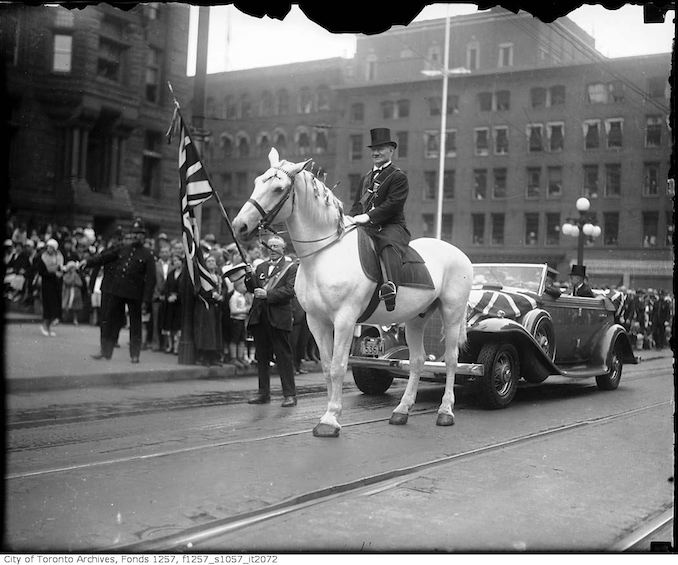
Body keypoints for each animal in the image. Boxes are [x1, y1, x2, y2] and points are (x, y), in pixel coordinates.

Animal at [232, 149, 472, 436]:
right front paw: (328, 414)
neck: (323, 255)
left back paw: (445, 411)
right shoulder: (316, 321)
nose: (239, 225)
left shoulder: (345, 320)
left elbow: (338, 366)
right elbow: (326, 367)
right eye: (257, 182)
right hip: (417, 318)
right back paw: (402, 411)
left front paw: (330, 419)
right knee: (417, 360)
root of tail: (459, 253)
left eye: (278, 188)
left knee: (450, 360)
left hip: (452, 313)